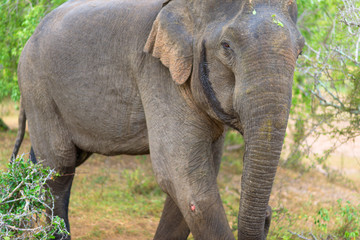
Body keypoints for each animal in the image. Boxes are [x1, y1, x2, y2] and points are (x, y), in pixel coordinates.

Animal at [11, 0, 304, 239]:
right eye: (226, 46)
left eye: (300, 51)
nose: (268, 214)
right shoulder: (158, 73)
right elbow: (186, 183)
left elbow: (188, 187)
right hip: (36, 85)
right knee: (59, 167)